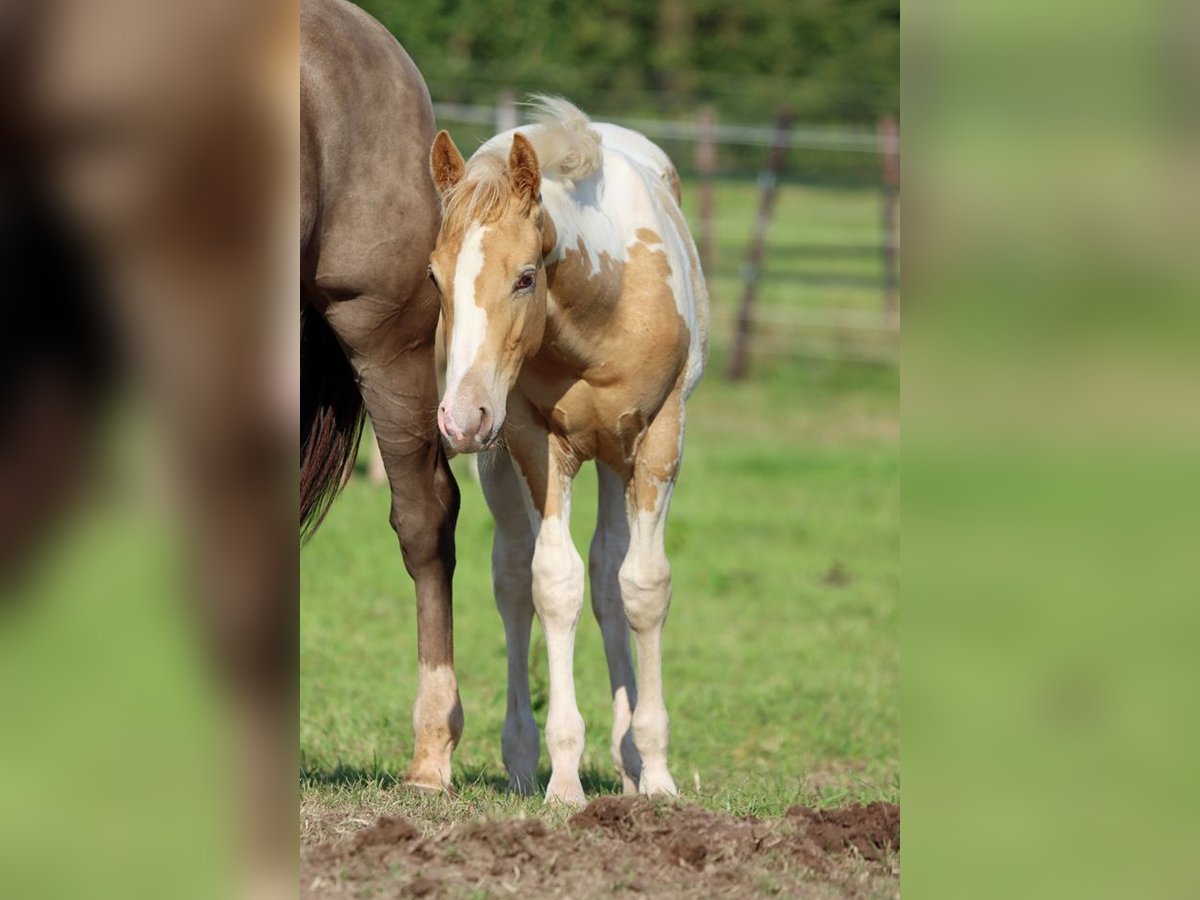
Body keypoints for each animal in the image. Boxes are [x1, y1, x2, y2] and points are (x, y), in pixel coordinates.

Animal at [427, 98, 705, 801]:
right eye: (434, 277)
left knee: (609, 575)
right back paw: (524, 760)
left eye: (526, 277)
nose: (461, 417)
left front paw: (657, 773)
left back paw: (628, 763)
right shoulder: (533, 440)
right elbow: (552, 583)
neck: (601, 313)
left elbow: (642, 586)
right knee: (512, 578)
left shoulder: (659, 436)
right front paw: (564, 781)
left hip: (610, 456)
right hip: (500, 460)